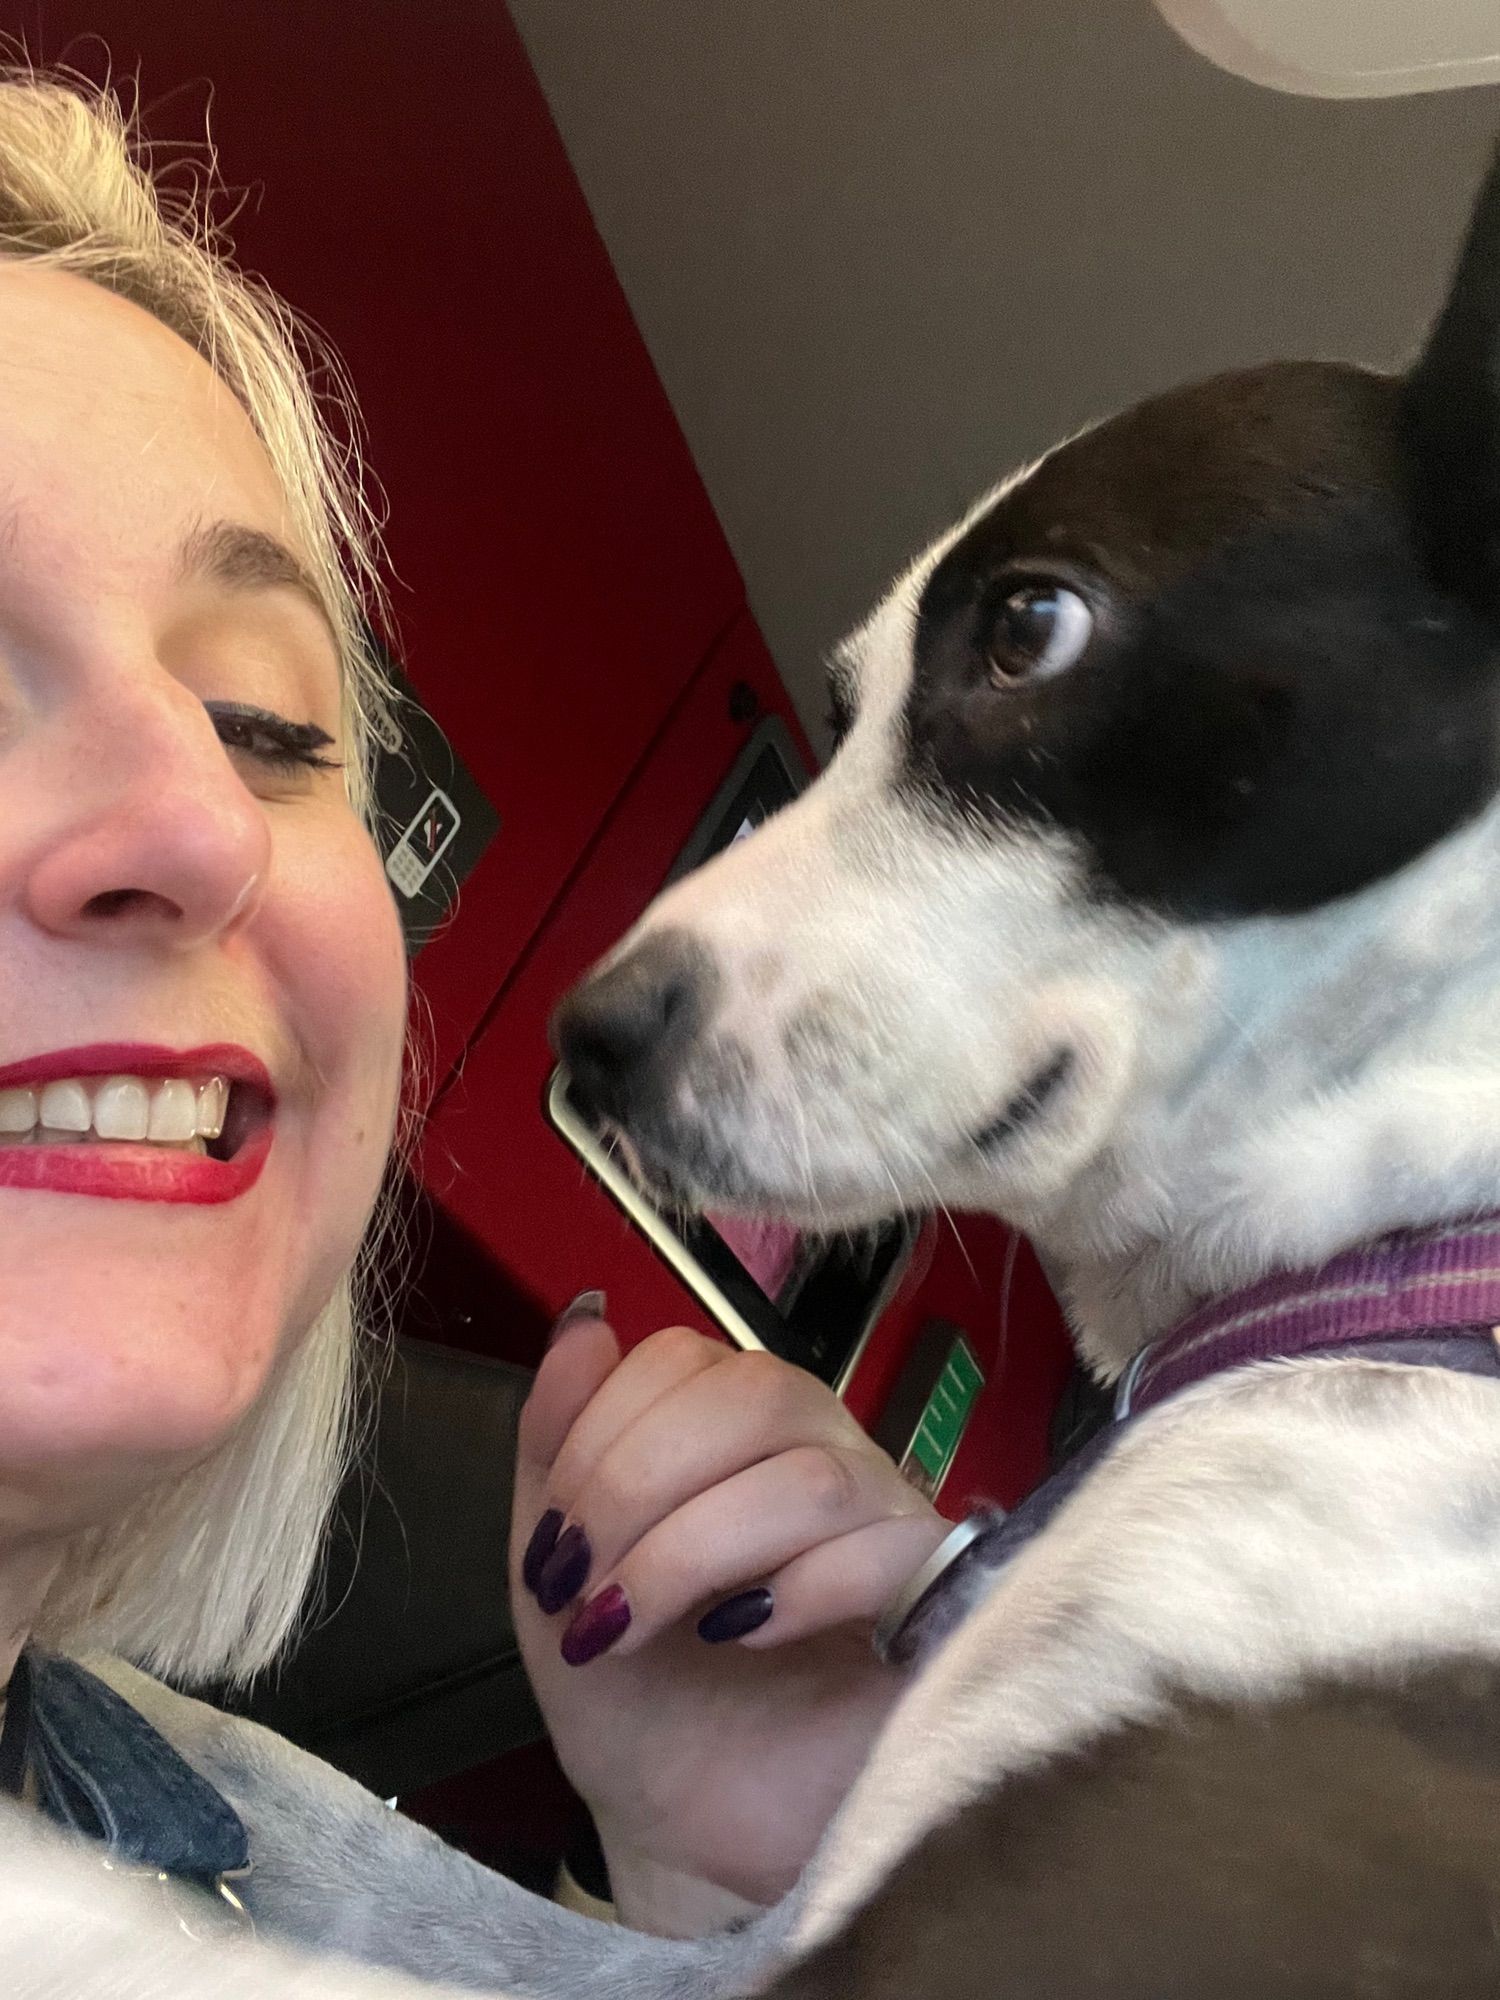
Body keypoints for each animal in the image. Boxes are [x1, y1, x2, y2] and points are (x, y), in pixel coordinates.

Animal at [8, 133, 1500, 2000]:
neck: (1403, 1271)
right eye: (840, 705)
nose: (587, 1035)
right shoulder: (736, 1945)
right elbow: (370, 1848)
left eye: (1031, 627)